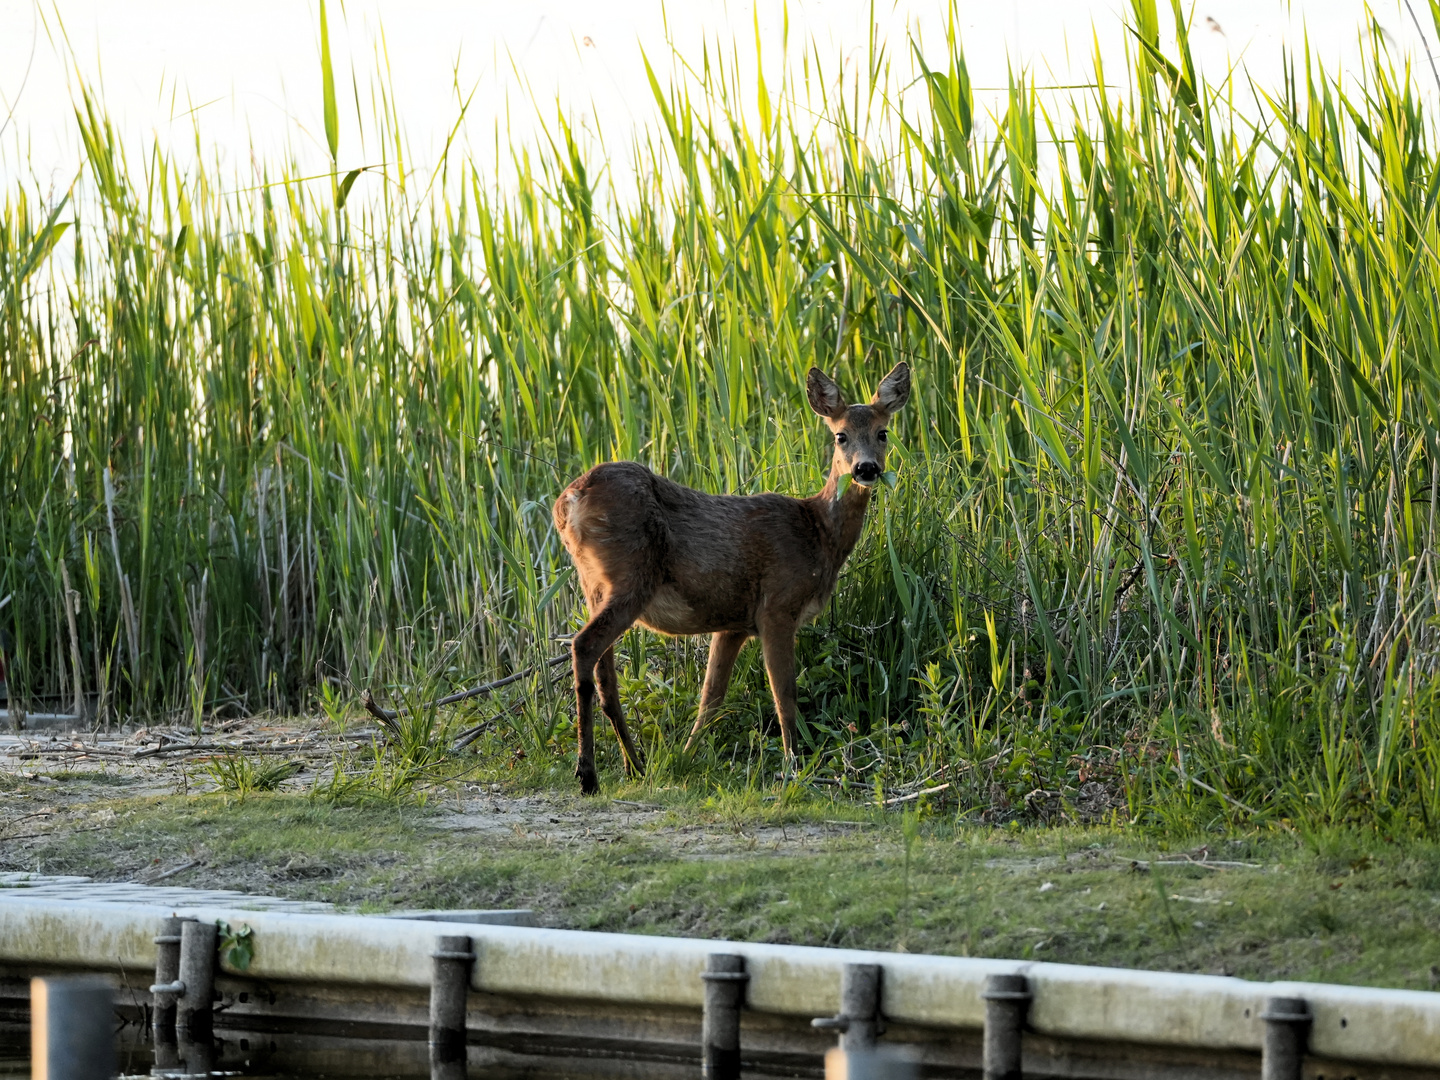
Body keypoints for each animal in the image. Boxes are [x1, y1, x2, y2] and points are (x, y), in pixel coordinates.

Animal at [552, 364, 910, 794]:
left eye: (883, 432)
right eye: (840, 435)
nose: (866, 469)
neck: (818, 533)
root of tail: (568, 501)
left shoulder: (733, 623)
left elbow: (711, 697)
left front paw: (686, 756)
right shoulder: (777, 605)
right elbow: (784, 693)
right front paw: (793, 766)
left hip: (595, 586)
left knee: (604, 672)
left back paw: (633, 765)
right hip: (632, 577)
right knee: (584, 646)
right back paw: (588, 774)